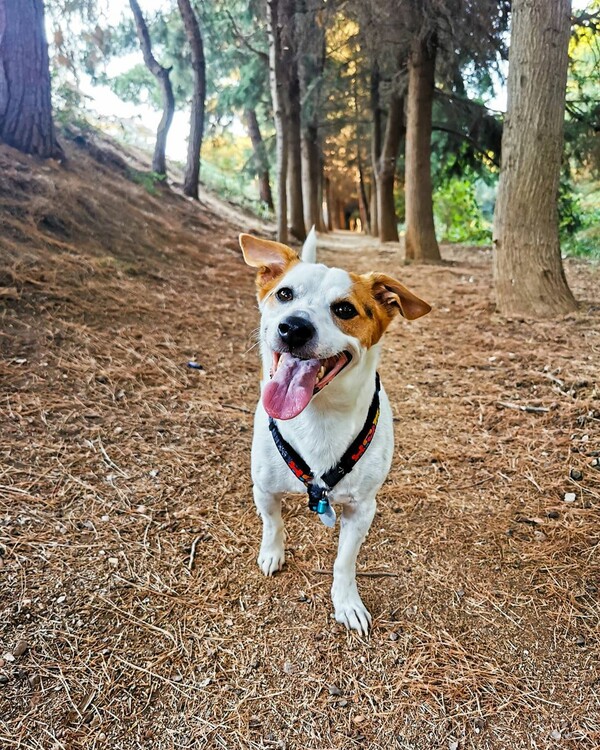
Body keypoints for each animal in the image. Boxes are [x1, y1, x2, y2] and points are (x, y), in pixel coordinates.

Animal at [237, 229, 428, 636]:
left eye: (344, 310)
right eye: (285, 294)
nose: (293, 327)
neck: (318, 417)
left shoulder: (362, 508)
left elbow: (344, 560)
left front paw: (347, 602)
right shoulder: (264, 489)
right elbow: (272, 523)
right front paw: (272, 552)